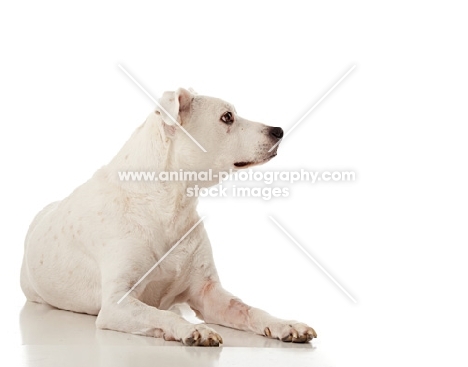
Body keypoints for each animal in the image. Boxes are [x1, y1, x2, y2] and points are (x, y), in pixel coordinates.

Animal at [20, 89, 316, 348]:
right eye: (227, 117)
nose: (278, 130)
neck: (171, 205)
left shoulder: (209, 294)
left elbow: (250, 309)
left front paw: (285, 324)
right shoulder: (117, 303)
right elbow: (160, 314)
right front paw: (194, 329)